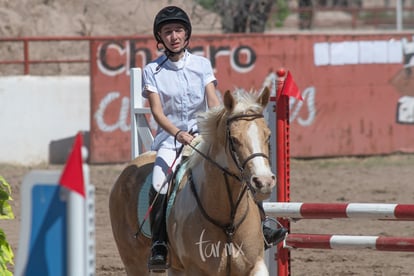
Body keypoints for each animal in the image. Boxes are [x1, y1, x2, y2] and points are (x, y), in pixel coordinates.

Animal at [110, 87, 276, 274]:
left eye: (268, 136)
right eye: (234, 139)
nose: (264, 182)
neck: (227, 217)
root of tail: (129, 167)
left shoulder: (255, 264)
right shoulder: (196, 268)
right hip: (134, 263)